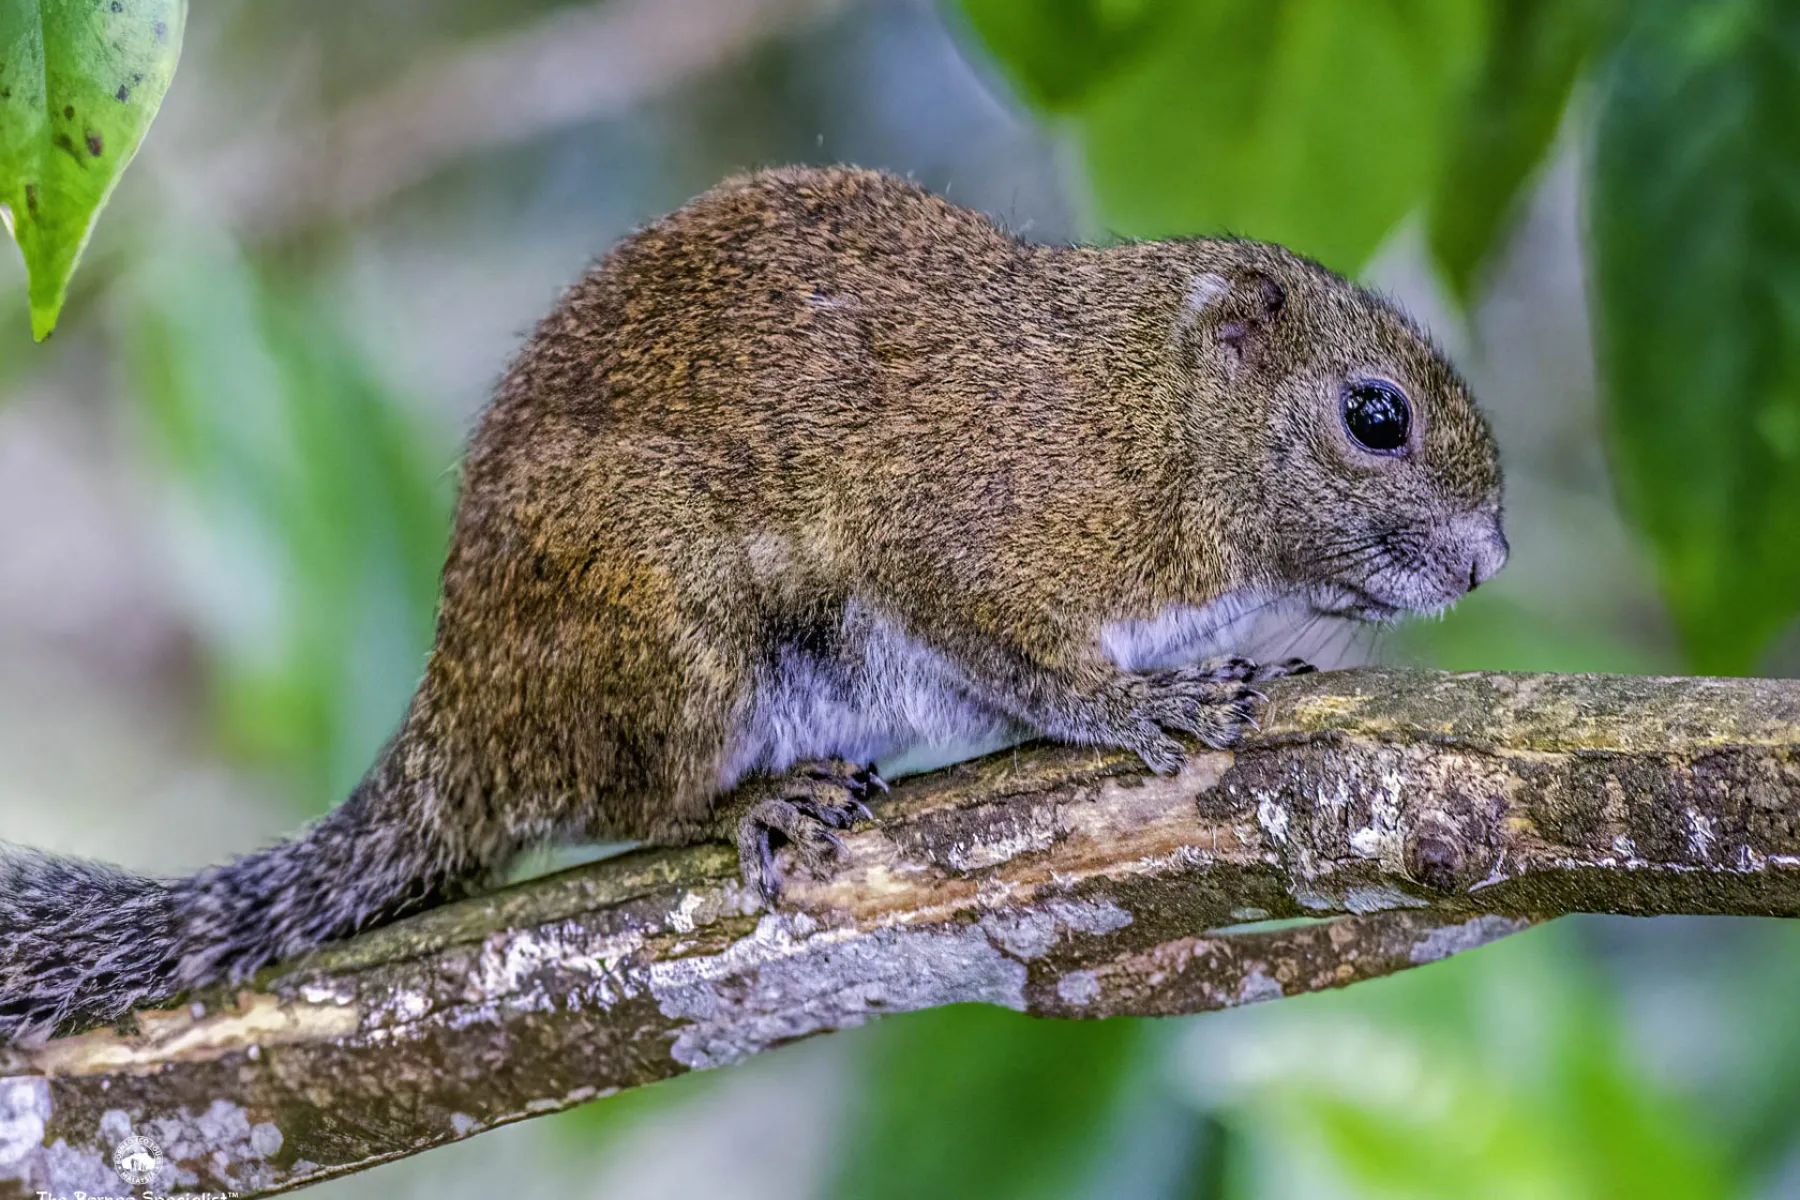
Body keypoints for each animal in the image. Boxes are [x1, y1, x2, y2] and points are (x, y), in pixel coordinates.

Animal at [0, 166, 1505, 1043]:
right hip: (673, 631)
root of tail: (462, 720)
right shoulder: (962, 545)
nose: (1494, 558)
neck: (1146, 418)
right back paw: (755, 802)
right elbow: (1031, 664)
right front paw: (1148, 704)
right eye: (1376, 417)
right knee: (630, 801)